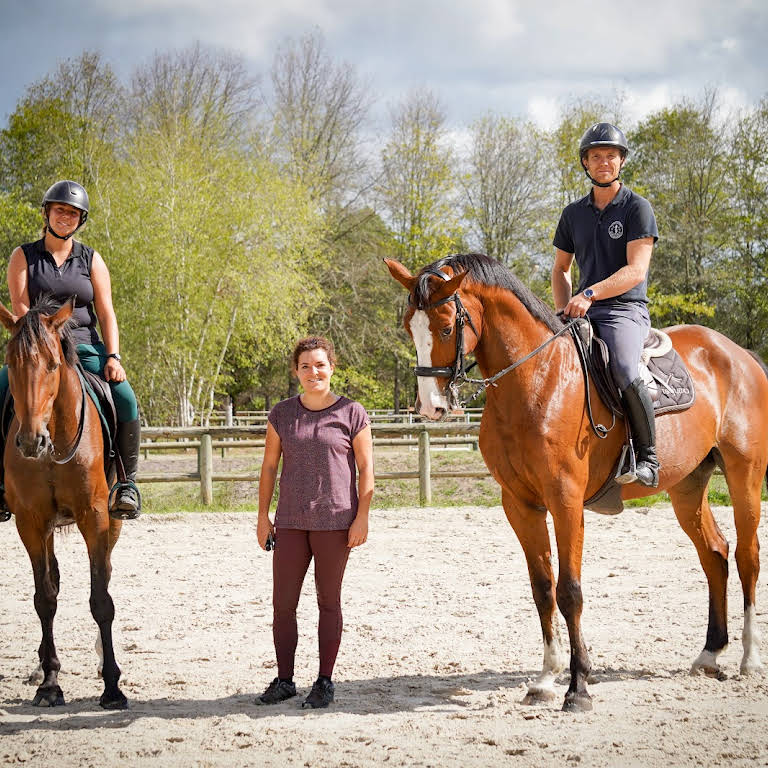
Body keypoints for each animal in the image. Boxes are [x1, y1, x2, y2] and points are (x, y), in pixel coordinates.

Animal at [0, 296, 127, 712]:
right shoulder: (31, 521)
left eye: (53, 364)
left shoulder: (96, 518)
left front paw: (112, 686)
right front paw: (50, 683)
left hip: (112, 521)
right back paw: (40, 666)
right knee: (51, 579)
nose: (30, 441)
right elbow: (45, 598)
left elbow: (101, 598)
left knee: (106, 574)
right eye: (11, 363)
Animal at [388, 254, 764, 712]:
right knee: (715, 553)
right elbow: (542, 589)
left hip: (745, 476)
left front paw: (577, 685)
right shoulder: (520, 504)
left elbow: (569, 591)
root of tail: (738, 354)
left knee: (747, 556)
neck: (536, 378)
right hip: (687, 487)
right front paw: (546, 679)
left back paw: (749, 658)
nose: (431, 407)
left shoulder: (565, 500)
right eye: (410, 327)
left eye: (445, 328)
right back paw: (710, 654)